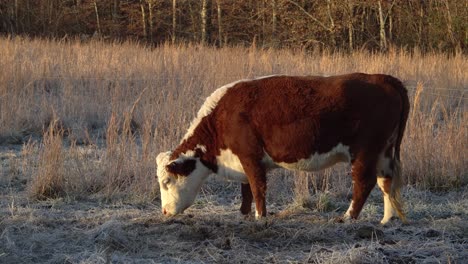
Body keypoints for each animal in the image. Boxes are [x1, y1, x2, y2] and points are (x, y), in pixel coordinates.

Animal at [155, 73, 408, 224]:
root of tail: (382, 78)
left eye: (166, 181)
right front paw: (244, 216)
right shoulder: (244, 161)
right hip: (384, 152)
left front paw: (261, 219)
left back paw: (347, 217)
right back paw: (386, 220)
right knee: (386, 181)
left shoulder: (250, 156)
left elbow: (257, 189)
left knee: (364, 183)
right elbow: (246, 190)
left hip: (365, 151)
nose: (164, 212)